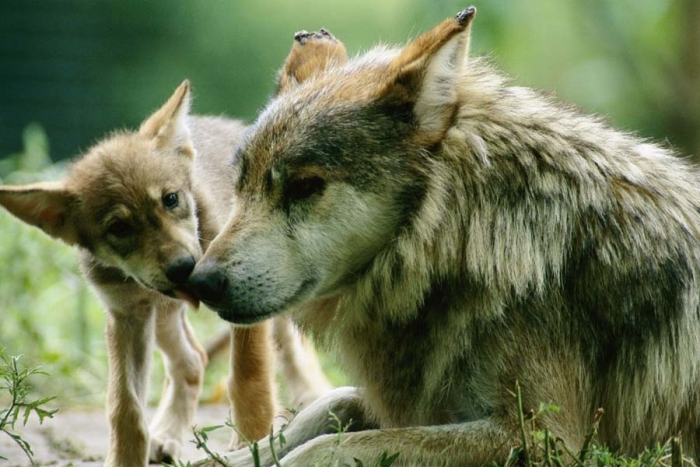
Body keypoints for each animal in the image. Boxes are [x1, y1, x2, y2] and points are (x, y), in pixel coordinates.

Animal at [186, 7, 700, 467]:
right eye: (241, 185)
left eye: (305, 187)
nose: (200, 281)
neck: (471, 235)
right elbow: (321, 411)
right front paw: (220, 459)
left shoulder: (544, 438)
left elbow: (322, 450)